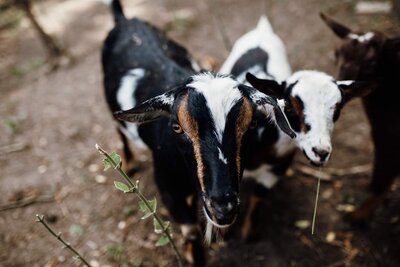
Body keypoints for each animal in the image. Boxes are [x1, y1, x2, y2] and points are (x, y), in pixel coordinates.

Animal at [100, 1, 294, 266]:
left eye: (252, 124)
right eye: (176, 127)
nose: (223, 207)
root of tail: (124, 20)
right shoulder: (168, 186)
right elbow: (190, 230)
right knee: (118, 129)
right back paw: (128, 164)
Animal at [219, 15, 372, 238]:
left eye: (337, 110)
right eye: (289, 107)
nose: (320, 152)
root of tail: (262, 29)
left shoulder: (275, 171)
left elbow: (258, 197)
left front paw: (249, 233)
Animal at [322, 13, 400, 225]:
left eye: (372, 64)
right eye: (336, 53)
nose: (339, 92)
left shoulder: (389, 140)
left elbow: (382, 178)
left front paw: (358, 216)